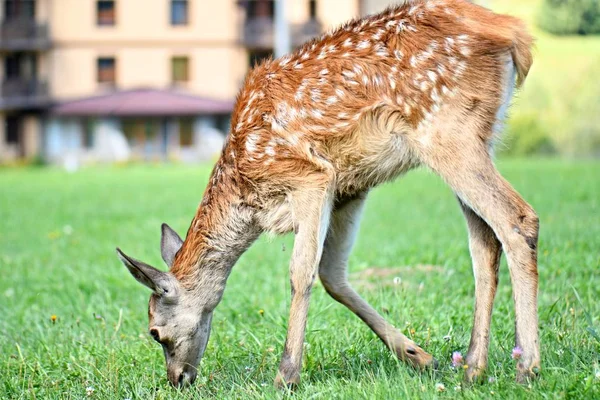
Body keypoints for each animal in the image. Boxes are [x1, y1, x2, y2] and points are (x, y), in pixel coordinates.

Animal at [115, 0, 536, 390]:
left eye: (155, 332)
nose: (177, 379)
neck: (245, 190)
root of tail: (511, 30)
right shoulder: (349, 188)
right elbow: (332, 273)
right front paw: (417, 355)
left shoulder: (309, 176)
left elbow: (301, 271)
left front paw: (287, 374)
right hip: (481, 135)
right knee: (484, 241)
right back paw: (473, 368)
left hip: (447, 131)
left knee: (517, 219)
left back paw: (527, 367)